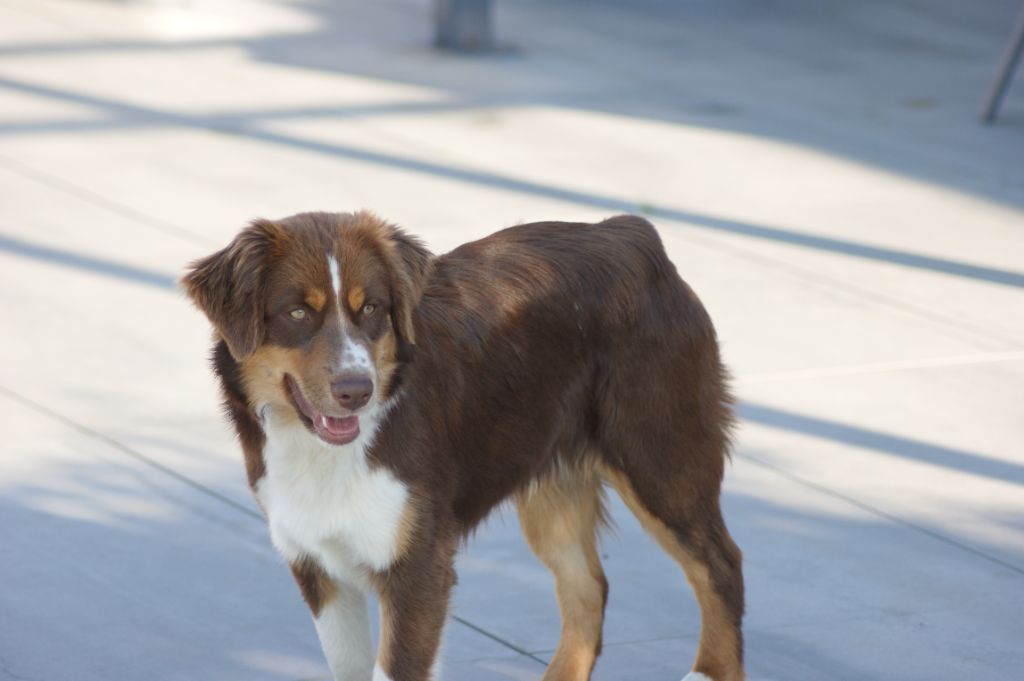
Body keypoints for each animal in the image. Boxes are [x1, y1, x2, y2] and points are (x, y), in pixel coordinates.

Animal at [184, 209, 745, 679]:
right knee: (588, 585)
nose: (356, 390)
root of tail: (632, 234)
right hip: (554, 488)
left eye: (373, 309)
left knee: (720, 565)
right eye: (298, 313)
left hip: (662, 461)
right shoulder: (317, 563)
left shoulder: (418, 568)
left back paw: (708, 670)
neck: (327, 451)